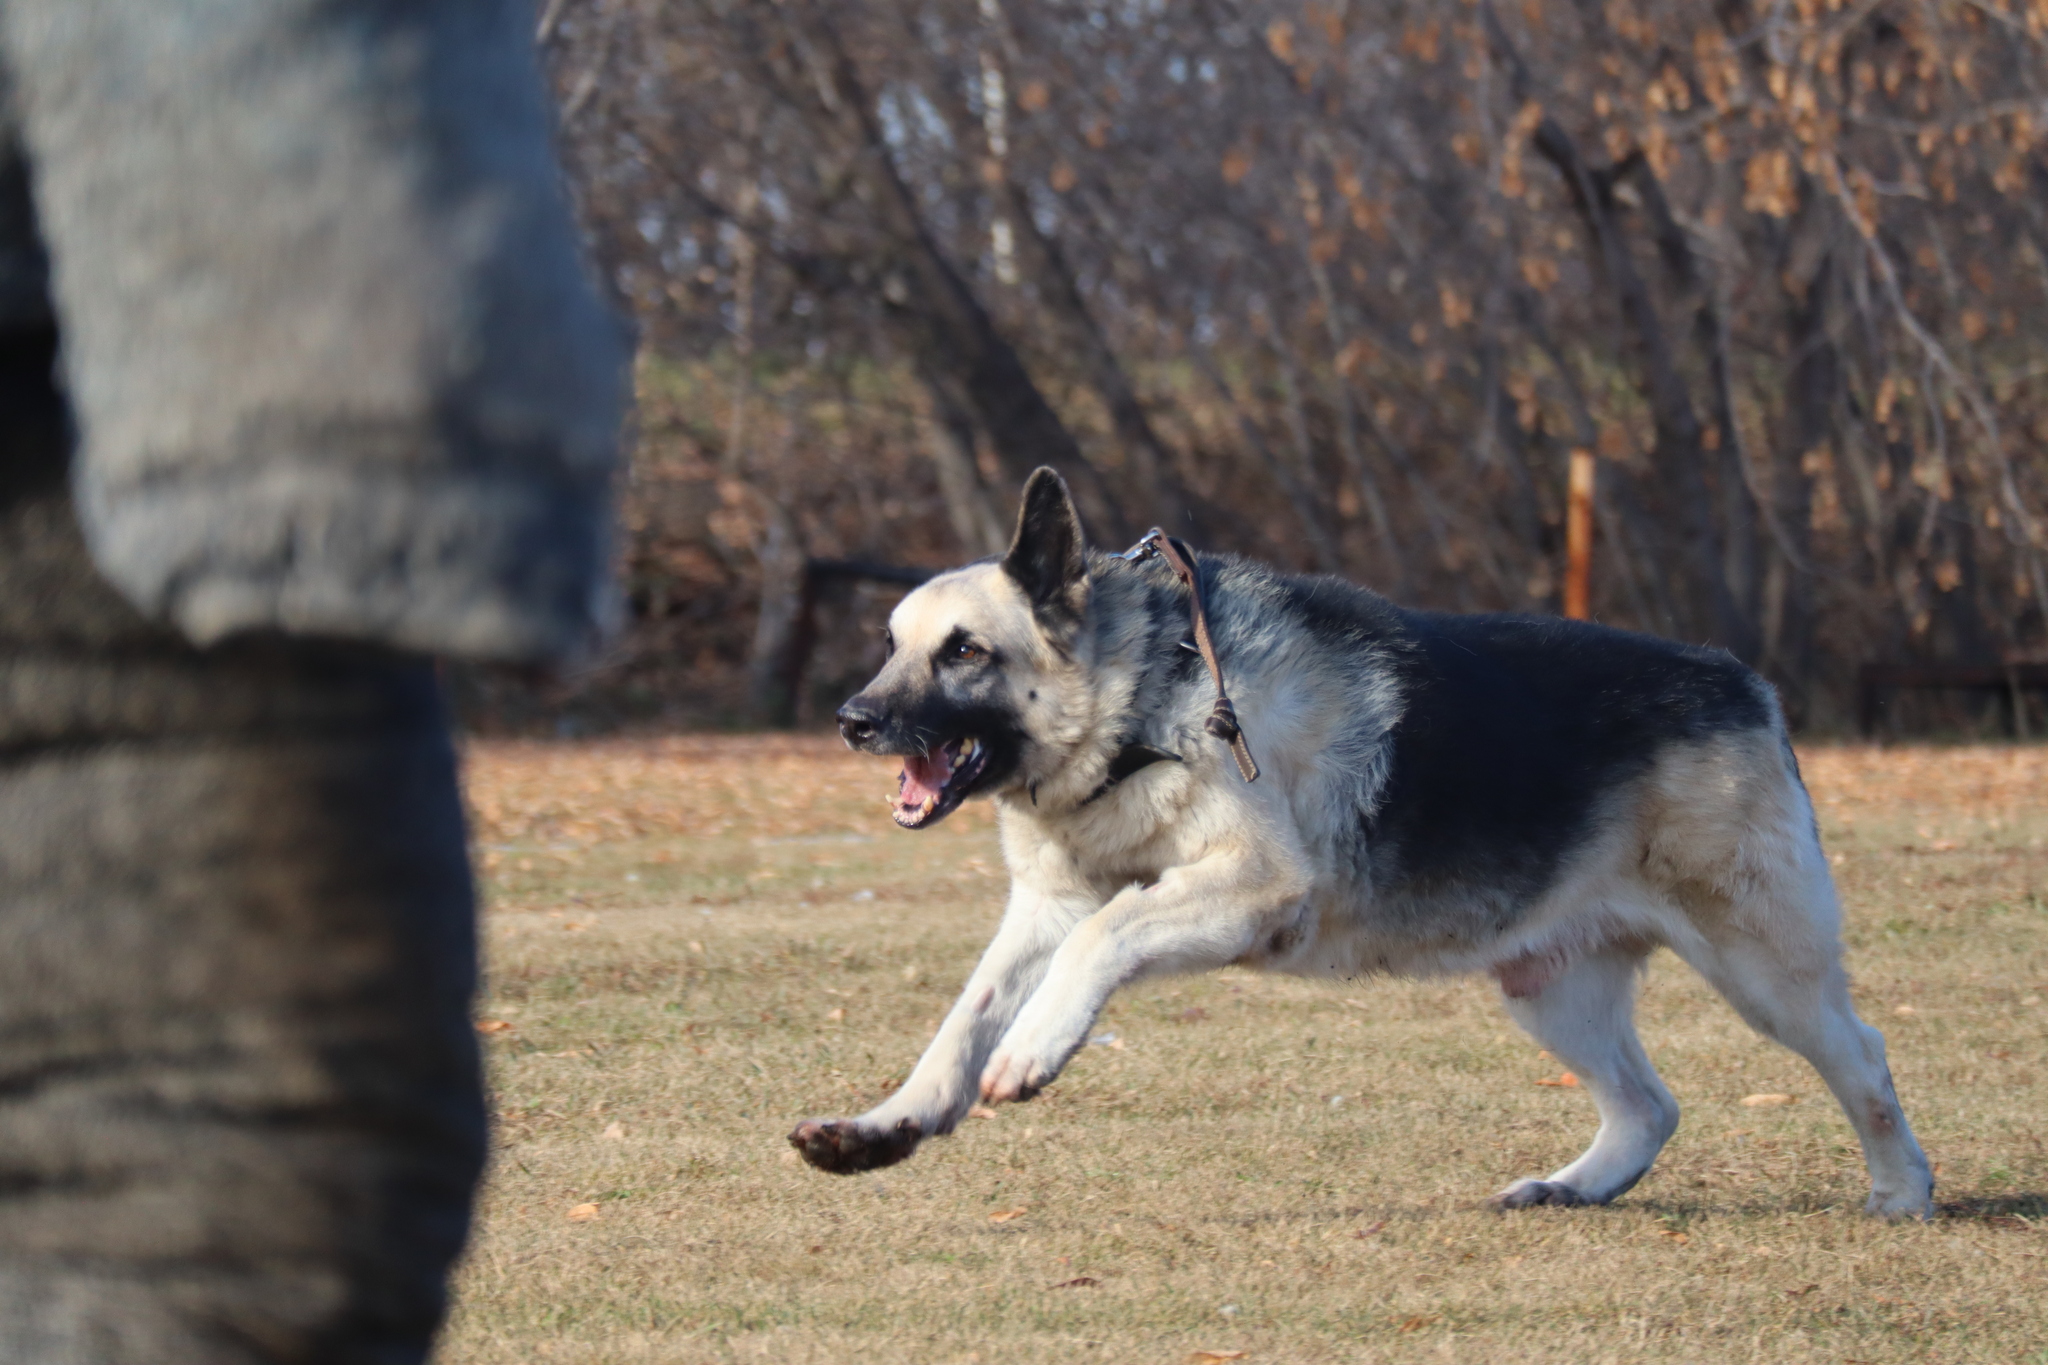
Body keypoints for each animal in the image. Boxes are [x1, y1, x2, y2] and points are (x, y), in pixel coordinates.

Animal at [786, 466, 1933, 1219]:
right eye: (892, 647)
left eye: (963, 652)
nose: (850, 720)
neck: (1139, 703)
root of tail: (1746, 686)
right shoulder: (1046, 908)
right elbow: (964, 1015)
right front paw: (892, 1123)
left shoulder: (1246, 889)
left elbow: (1100, 939)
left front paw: (1034, 1048)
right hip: (1548, 988)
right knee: (1648, 1106)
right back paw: (1573, 1186)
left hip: (1762, 972)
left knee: (1864, 1058)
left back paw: (1901, 1190)